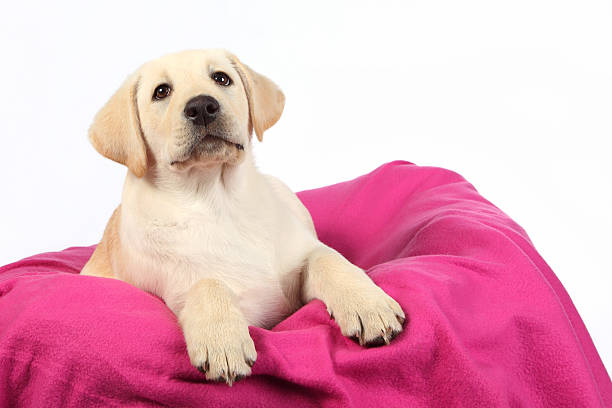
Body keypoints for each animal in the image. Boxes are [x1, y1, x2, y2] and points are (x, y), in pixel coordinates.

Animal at [82, 49, 406, 384]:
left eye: (221, 78)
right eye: (161, 92)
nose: (202, 106)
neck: (217, 199)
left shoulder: (300, 265)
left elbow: (327, 258)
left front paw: (368, 303)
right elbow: (206, 283)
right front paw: (222, 340)